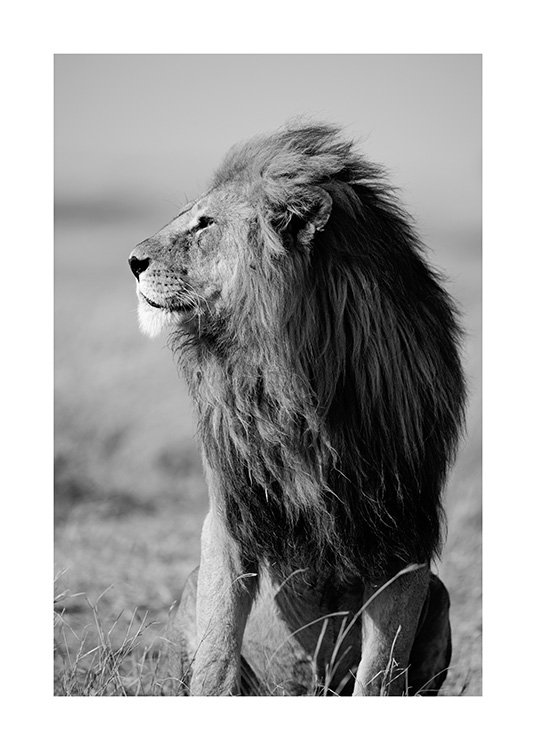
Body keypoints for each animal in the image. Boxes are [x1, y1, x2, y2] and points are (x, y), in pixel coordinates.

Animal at [128, 123, 465, 696]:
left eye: (206, 223)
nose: (132, 261)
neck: (294, 384)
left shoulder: (406, 533)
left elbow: (379, 673)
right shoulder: (230, 514)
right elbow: (216, 654)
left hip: (439, 594)